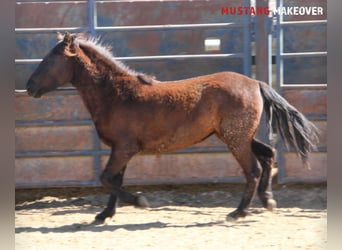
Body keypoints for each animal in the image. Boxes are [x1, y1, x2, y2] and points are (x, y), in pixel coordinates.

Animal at [26, 32, 318, 222]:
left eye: (50, 59)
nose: (30, 87)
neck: (116, 94)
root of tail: (255, 82)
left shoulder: (123, 149)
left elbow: (107, 178)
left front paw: (139, 202)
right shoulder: (121, 150)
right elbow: (114, 180)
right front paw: (104, 214)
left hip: (235, 139)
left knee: (253, 169)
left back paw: (238, 212)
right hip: (238, 136)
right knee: (268, 155)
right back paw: (268, 201)